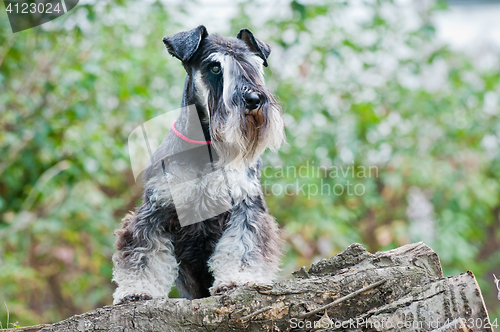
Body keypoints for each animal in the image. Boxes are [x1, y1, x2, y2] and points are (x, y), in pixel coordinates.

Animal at [113, 25, 286, 306]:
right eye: (215, 67)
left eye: (256, 65)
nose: (253, 99)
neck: (207, 146)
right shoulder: (156, 209)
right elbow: (144, 251)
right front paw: (138, 290)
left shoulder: (245, 205)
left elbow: (243, 244)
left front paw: (238, 278)